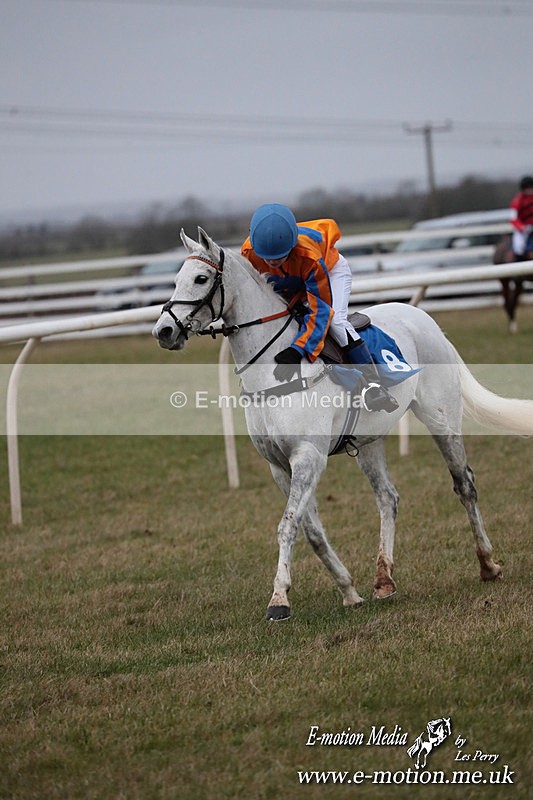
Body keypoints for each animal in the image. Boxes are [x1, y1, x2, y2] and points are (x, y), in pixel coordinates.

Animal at [152, 228, 533, 621]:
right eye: (176, 279)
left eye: (201, 278)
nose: (163, 331)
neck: (273, 366)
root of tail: (426, 320)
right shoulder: (279, 466)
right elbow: (311, 531)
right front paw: (348, 590)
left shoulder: (308, 456)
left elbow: (287, 526)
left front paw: (279, 599)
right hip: (369, 440)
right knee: (388, 497)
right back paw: (383, 579)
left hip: (440, 418)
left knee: (464, 485)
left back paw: (488, 565)